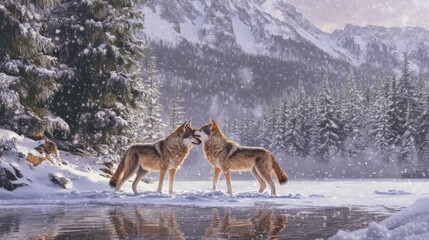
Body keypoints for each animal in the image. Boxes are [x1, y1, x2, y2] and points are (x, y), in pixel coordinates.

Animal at [109, 118, 288, 195]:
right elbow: (163, 185)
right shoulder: (167, 169)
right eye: (193, 132)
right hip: (136, 171)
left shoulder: (223, 169)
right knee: (122, 182)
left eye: (200, 130)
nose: (195, 131)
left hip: (258, 173)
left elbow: (226, 185)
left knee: (270, 185)